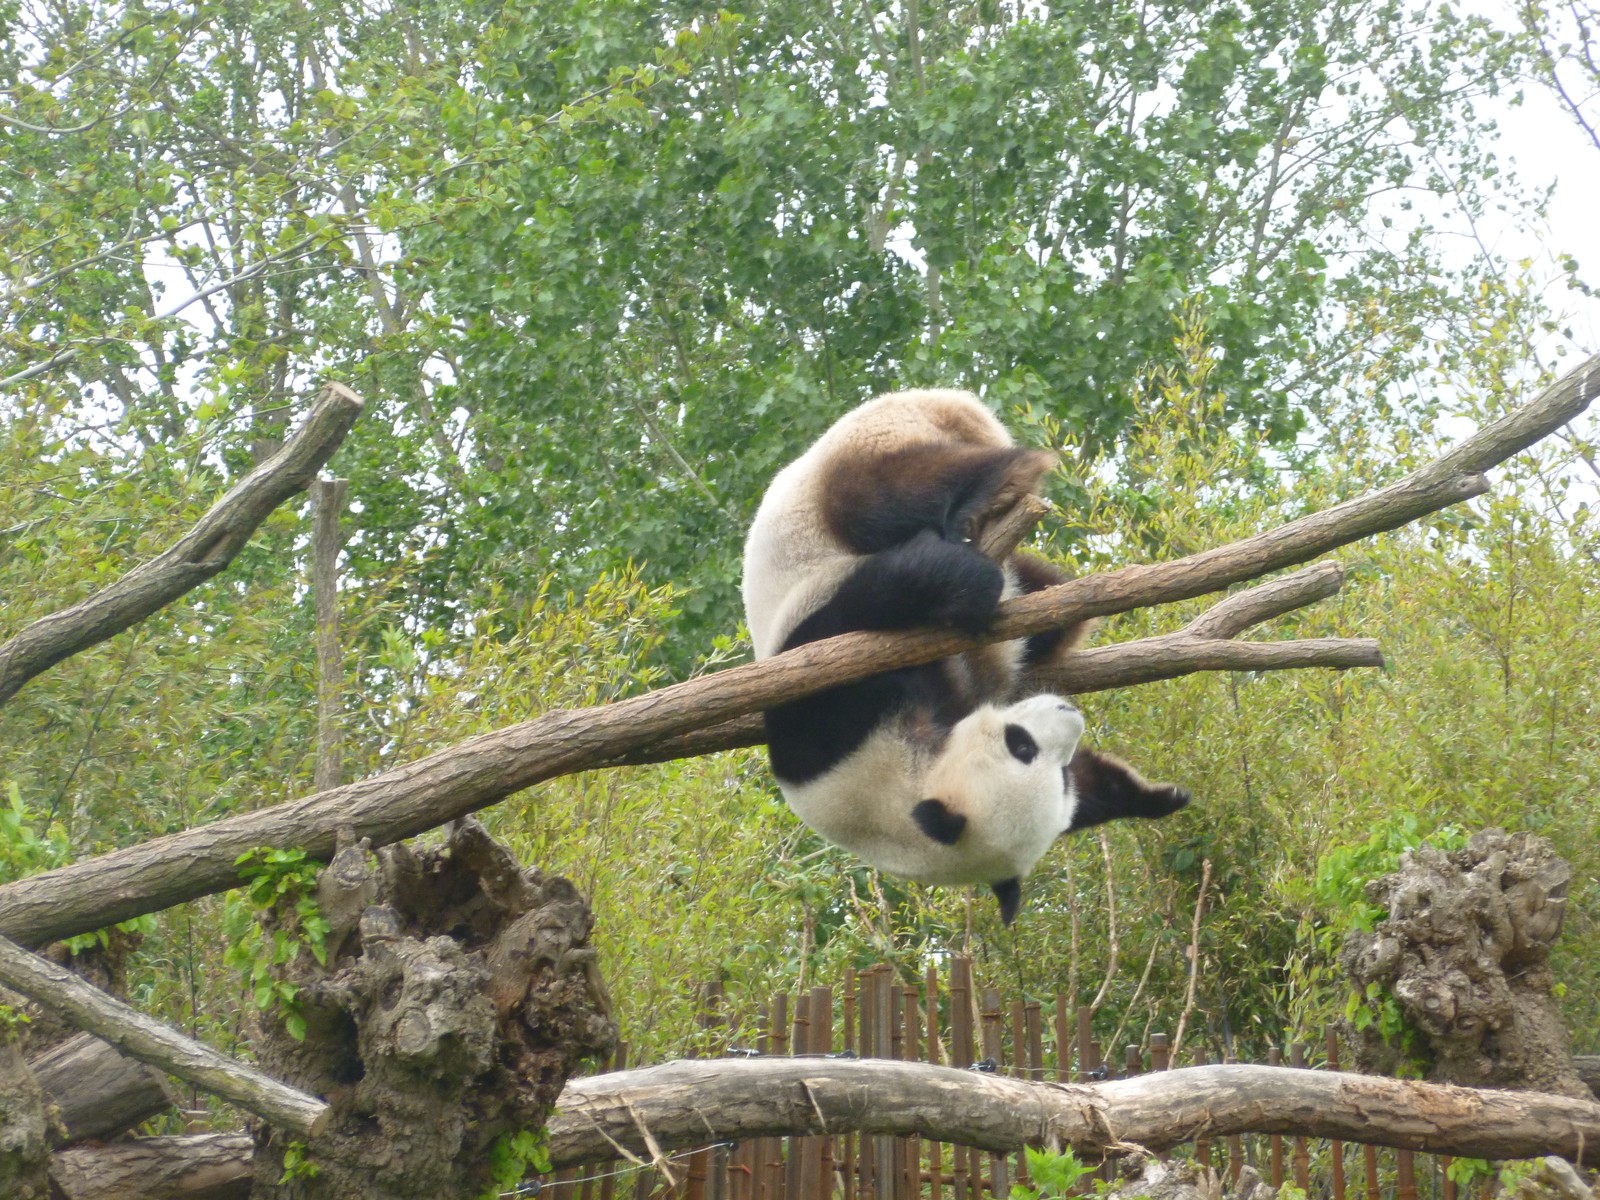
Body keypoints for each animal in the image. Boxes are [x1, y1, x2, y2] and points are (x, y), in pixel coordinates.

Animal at [742, 389, 1190, 924]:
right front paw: (1150, 796)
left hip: (862, 449)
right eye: (1024, 748)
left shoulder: (832, 693)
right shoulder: (829, 712)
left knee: (889, 493)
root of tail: (945, 399)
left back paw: (995, 492)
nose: (1068, 712)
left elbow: (894, 586)